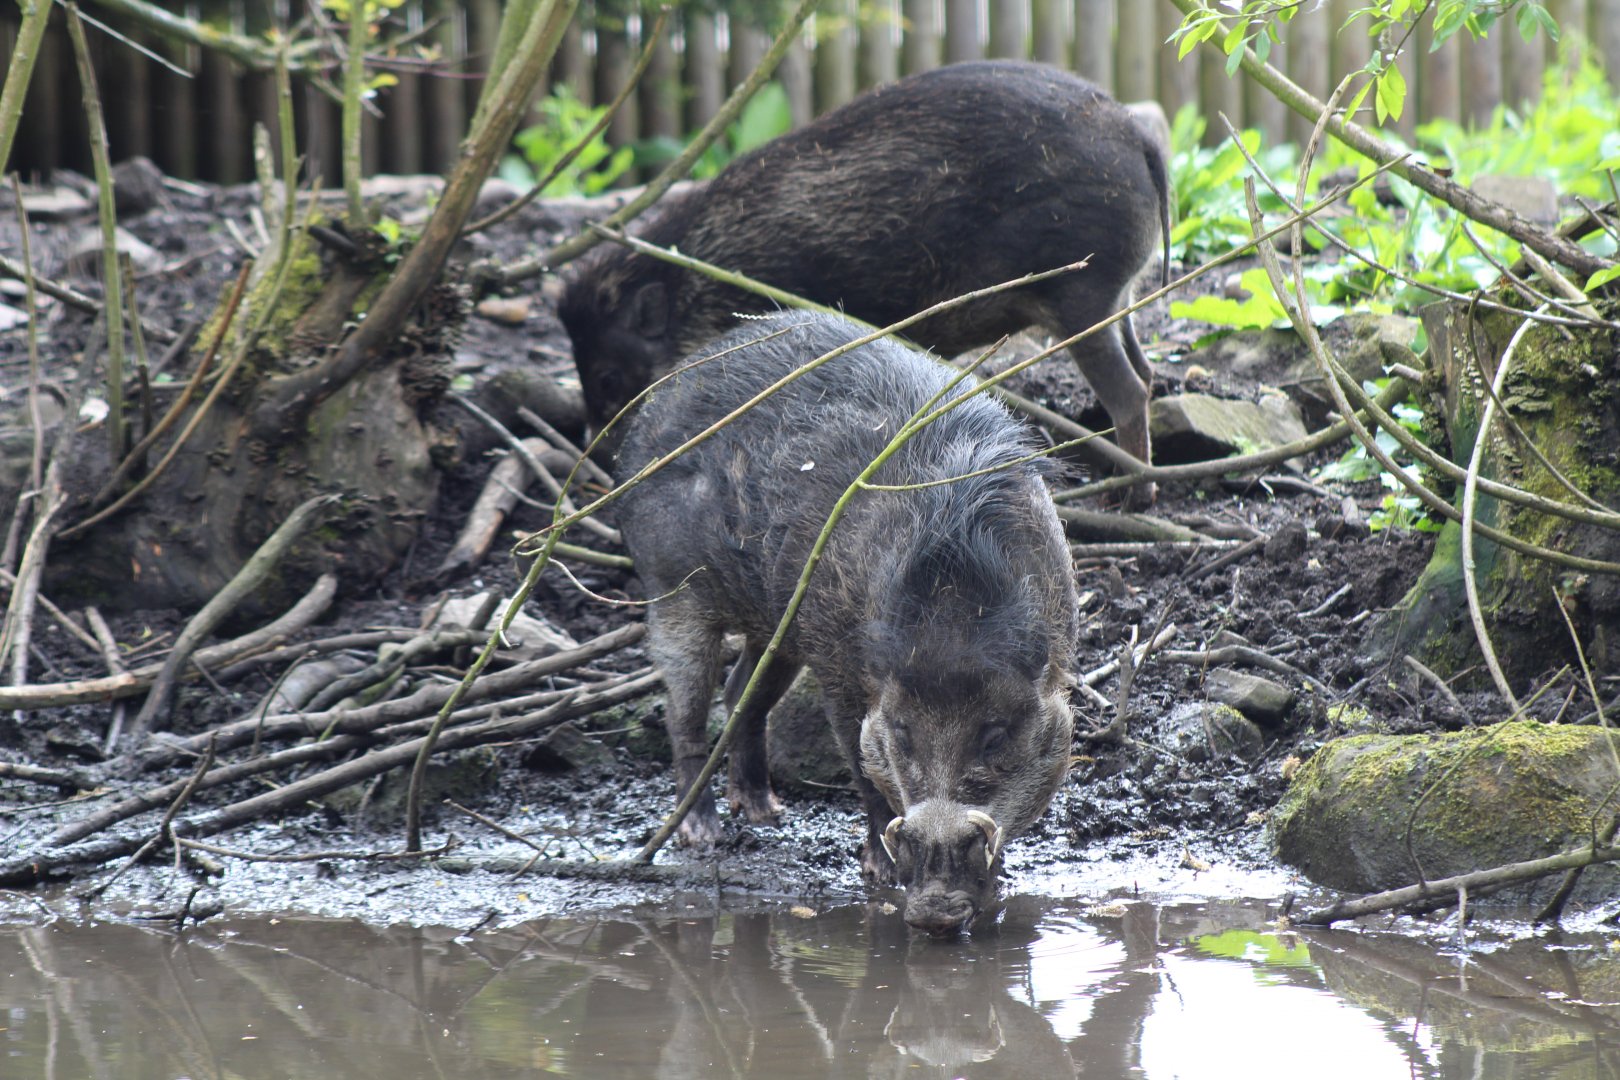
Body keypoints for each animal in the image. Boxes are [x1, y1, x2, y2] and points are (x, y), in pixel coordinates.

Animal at [561, 59, 1170, 501]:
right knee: (1147, 373)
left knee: (1129, 390)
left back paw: (1131, 496)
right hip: (1120, 297)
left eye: (609, 377)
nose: (597, 469)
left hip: (1079, 296)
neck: (704, 288)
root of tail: (1137, 136)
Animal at [614, 311, 1079, 935]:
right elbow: (860, 766)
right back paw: (704, 835)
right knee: (683, 714)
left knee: (740, 695)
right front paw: (878, 877)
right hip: (672, 591)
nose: (934, 911)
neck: (951, 623)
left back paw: (764, 813)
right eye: (902, 732)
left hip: (778, 626)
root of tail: (648, 411)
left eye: (995, 733)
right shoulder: (838, 666)